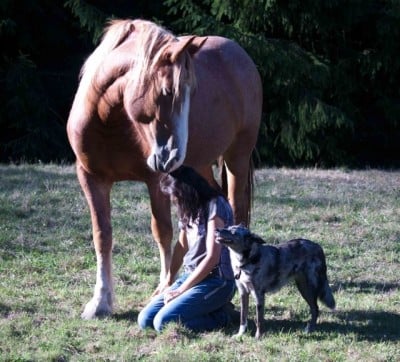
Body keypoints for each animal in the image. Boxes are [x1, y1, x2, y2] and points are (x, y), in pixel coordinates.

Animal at [66, 19, 262, 320]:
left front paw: (164, 288)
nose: (172, 156)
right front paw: (100, 302)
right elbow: (102, 235)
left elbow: (163, 232)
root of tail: (241, 55)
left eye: (192, 94)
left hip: (236, 158)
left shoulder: (156, 181)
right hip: (201, 166)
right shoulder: (91, 179)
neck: (108, 119)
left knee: (235, 208)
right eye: (166, 92)